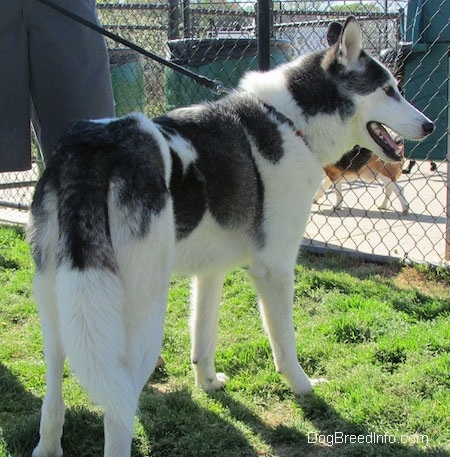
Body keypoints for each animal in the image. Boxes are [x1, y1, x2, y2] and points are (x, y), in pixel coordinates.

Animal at [28, 16, 432, 456]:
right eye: (389, 89)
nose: (429, 125)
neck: (290, 122)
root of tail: (92, 148)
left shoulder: (210, 273)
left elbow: (202, 340)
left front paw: (207, 383)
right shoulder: (275, 271)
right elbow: (285, 346)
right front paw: (304, 387)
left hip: (59, 315)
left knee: (53, 397)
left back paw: (47, 445)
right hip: (141, 318)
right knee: (118, 413)